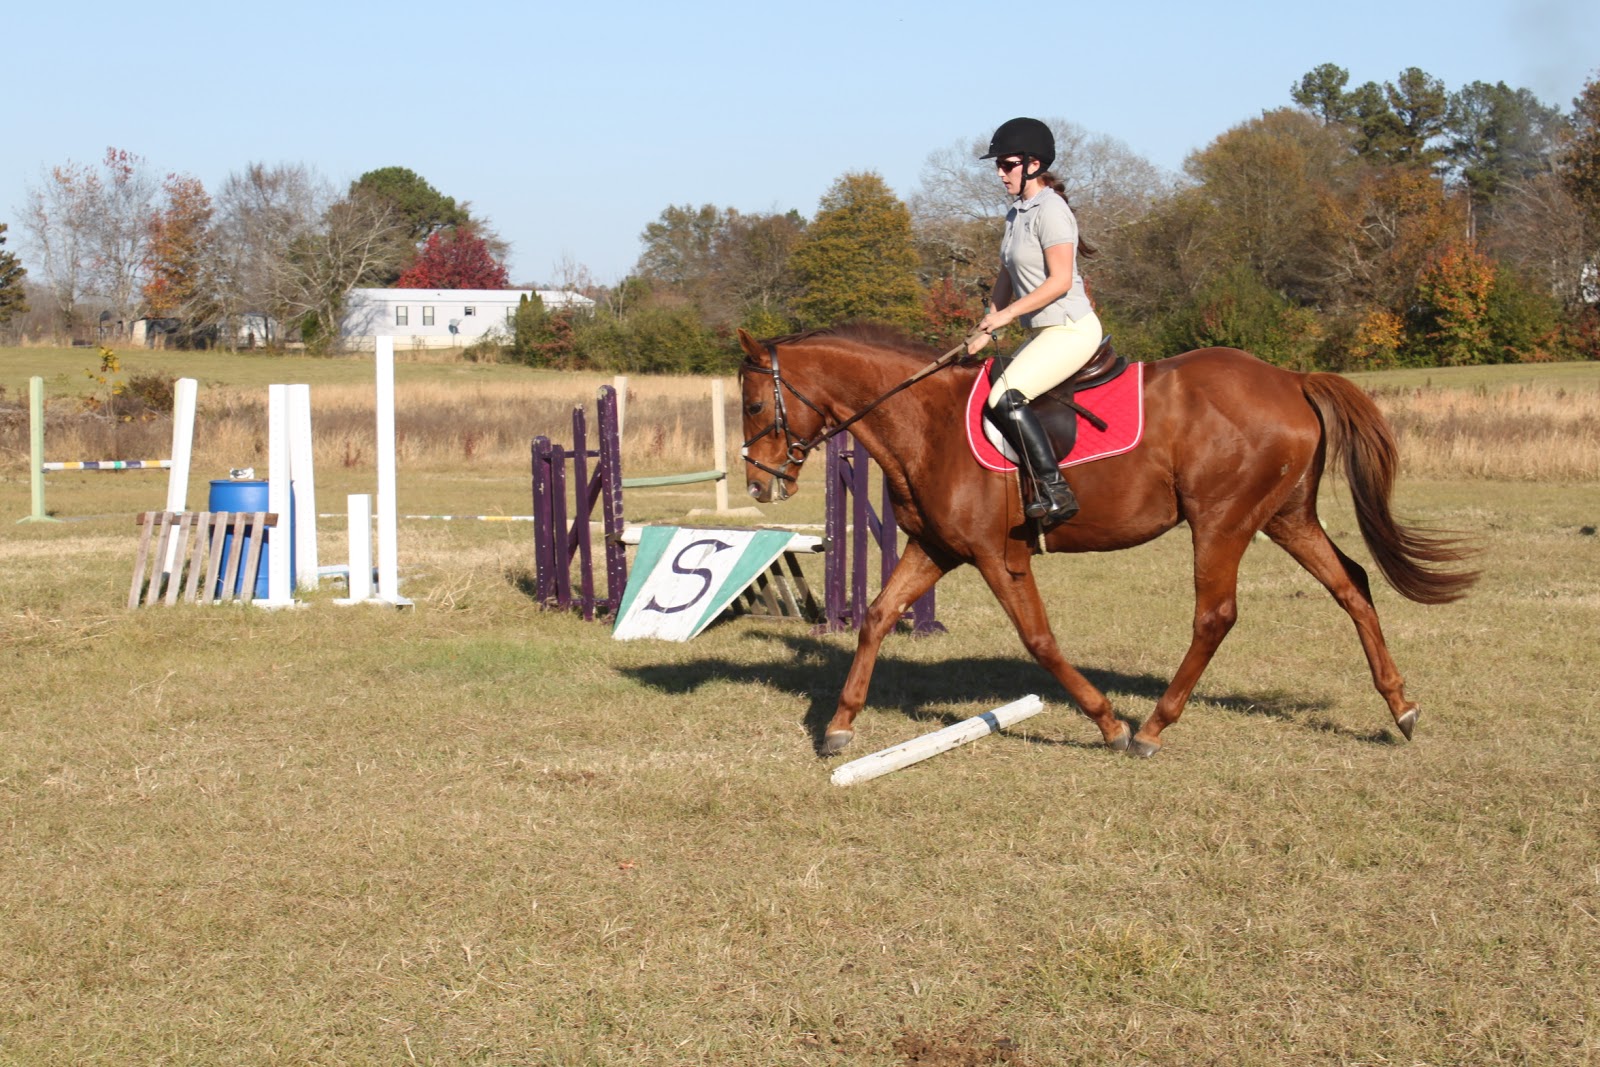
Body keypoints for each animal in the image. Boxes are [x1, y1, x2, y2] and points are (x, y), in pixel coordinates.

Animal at [736, 325, 1478, 758]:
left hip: (1222, 519)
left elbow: (1039, 639)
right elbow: (876, 617)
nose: (758, 485)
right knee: (1352, 584)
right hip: (1286, 516)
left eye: (751, 403)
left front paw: (1107, 722)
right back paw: (1402, 707)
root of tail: (1290, 379)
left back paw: (1150, 728)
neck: (928, 422)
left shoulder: (996, 556)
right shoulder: (934, 549)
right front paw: (839, 726)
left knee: (1216, 615)